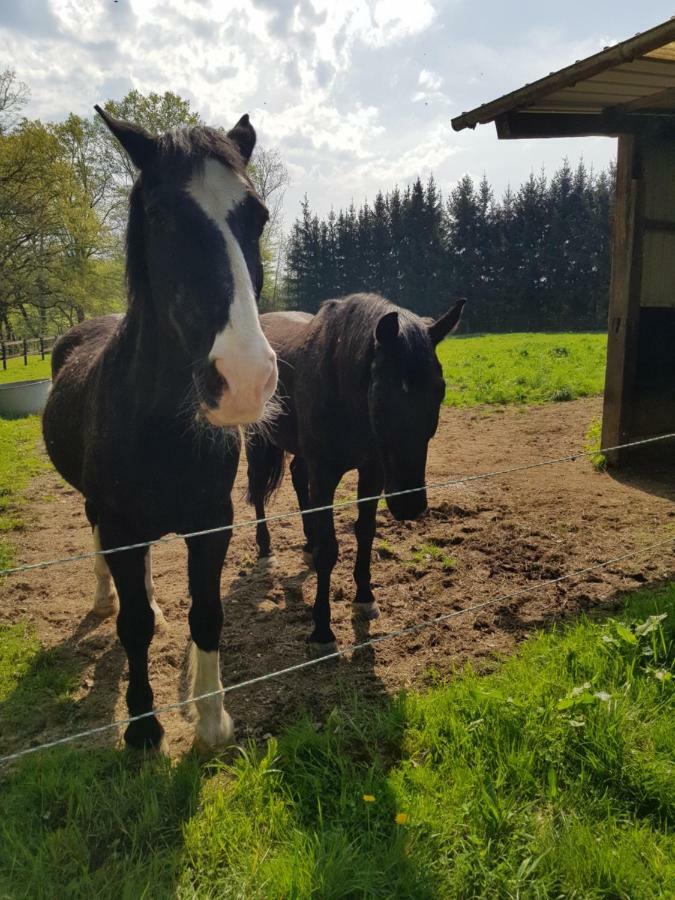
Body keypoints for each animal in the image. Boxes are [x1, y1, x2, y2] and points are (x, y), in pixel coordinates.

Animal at [43, 105, 278, 752]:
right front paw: (144, 726)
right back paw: (103, 596)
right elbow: (134, 626)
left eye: (258, 216)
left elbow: (207, 614)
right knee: (105, 562)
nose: (244, 378)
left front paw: (212, 720)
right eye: (161, 215)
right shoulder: (123, 527)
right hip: (99, 510)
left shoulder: (212, 523)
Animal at [246, 294, 462, 652]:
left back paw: (306, 543)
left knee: (297, 476)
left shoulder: (372, 472)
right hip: (256, 436)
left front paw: (364, 598)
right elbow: (329, 549)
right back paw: (266, 550)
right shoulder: (325, 475)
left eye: (440, 390)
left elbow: (365, 531)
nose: (409, 505)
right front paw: (322, 630)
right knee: (258, 487)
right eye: (382, 394)